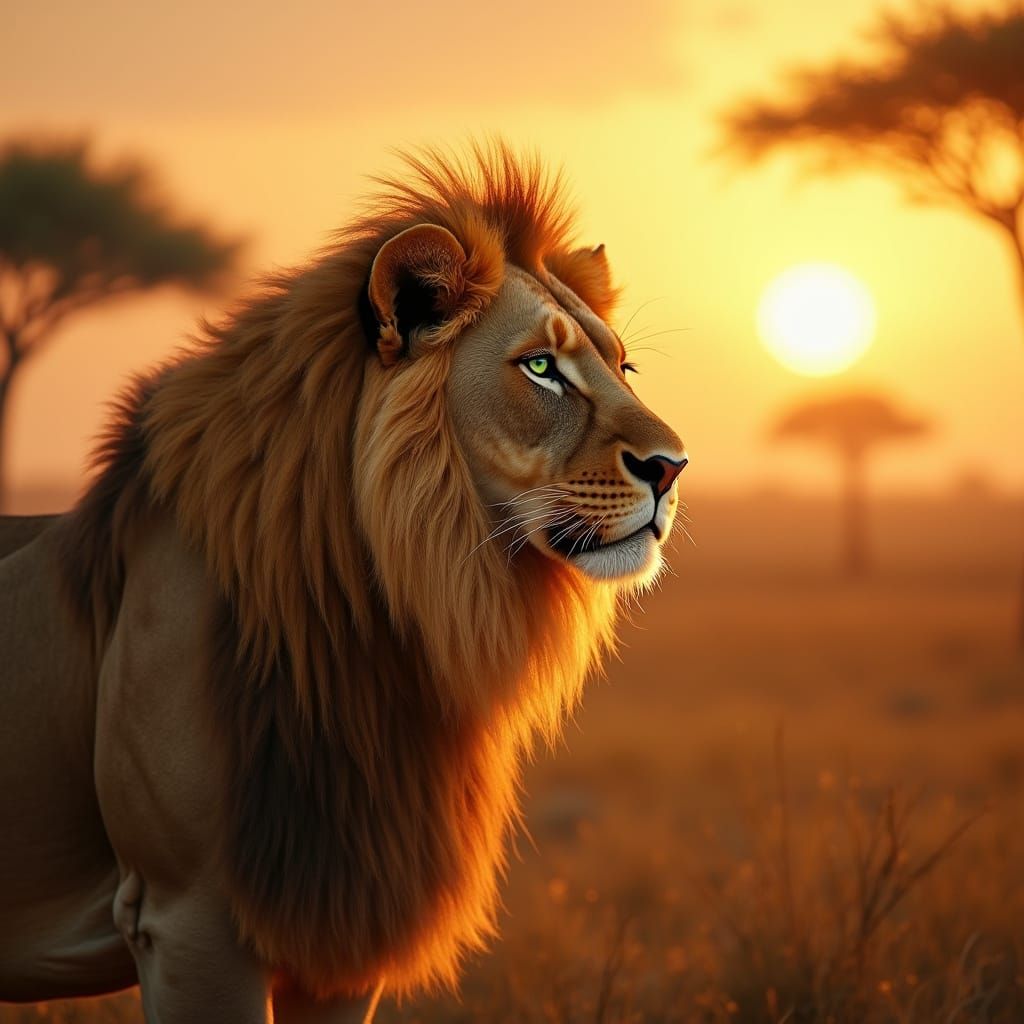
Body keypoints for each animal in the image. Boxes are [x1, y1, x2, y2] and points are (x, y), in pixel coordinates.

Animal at [0, 144, 686, 1022]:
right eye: (540, 367)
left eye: (623, 365)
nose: (673, 467)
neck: (386, 629)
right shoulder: (187, 918)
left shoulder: (348, 918)